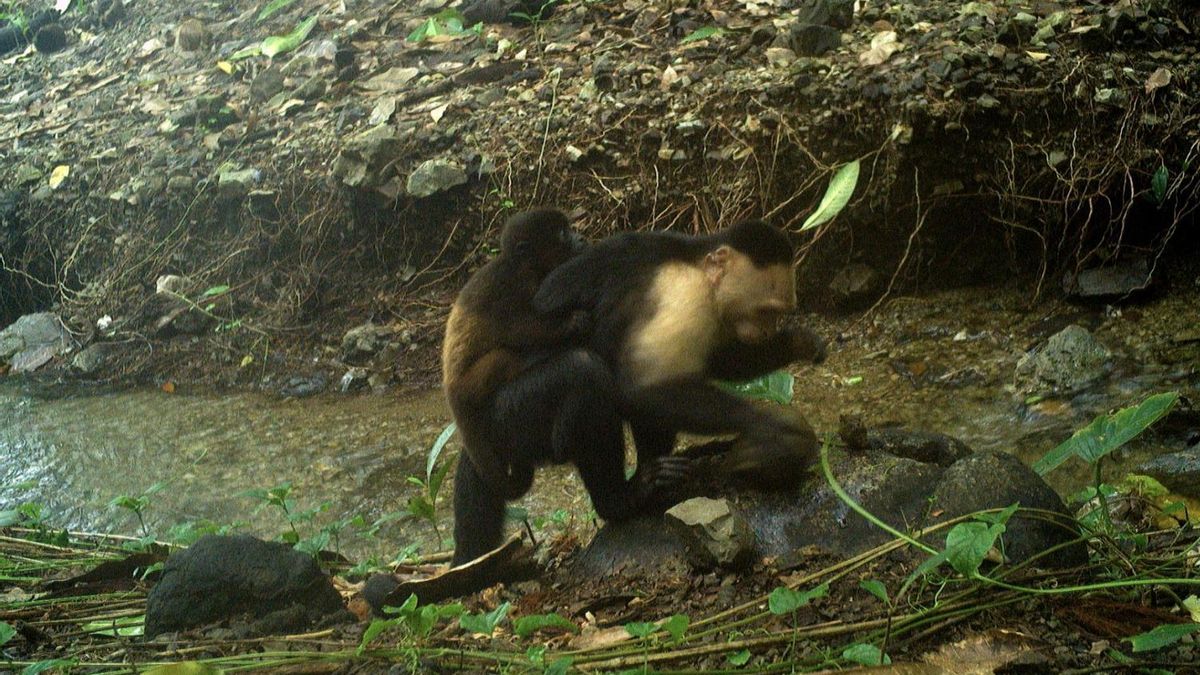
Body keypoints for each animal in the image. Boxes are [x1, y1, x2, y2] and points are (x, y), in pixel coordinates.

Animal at [442, 208, 589, 504]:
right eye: (562, 233)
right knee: (503, 354)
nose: (580, 237)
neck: (523, 266)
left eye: (568, 228)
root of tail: (450, 393)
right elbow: (521, 329)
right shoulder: (516, 288)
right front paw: (573, 322)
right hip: (470, 384)